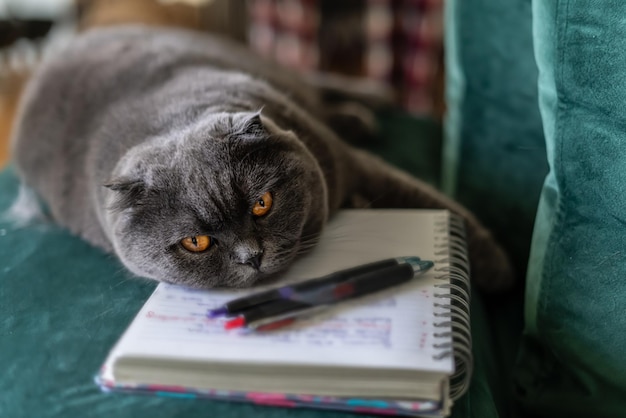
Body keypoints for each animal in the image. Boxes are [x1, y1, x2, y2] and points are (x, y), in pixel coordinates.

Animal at [9, 25, 512, 290]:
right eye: (196, 242)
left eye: (261, 204)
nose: (252, 256)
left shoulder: (354, 164)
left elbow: (442, 207)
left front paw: (497, 269)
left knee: (315, 83)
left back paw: (369, 101)